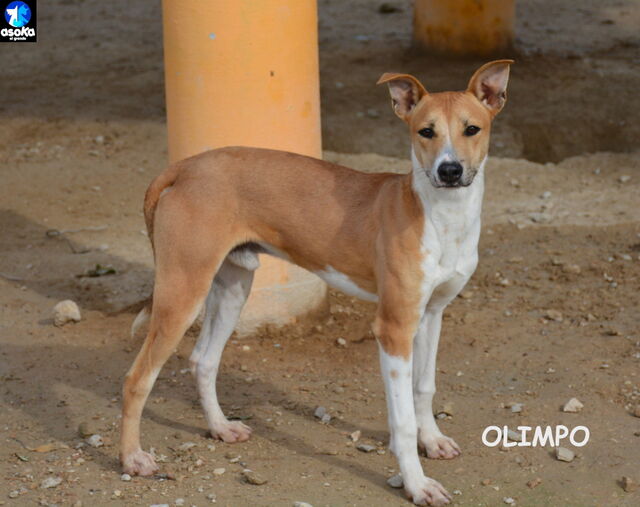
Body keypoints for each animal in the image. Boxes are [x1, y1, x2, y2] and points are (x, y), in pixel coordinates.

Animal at [120, 60, 512, 506]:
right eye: (425, 131)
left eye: (472, 129)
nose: (449, 170)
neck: (441, 215)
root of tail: (184, 166)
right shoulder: (393, 328)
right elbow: (401, 421)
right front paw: (417, 483)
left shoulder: (431, 314)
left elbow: (423, 387)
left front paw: (432, 440)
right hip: (182, 293)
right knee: (137, 379)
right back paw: (132, 459)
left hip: (233, 288)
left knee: (203, 360)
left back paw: (221, 427)